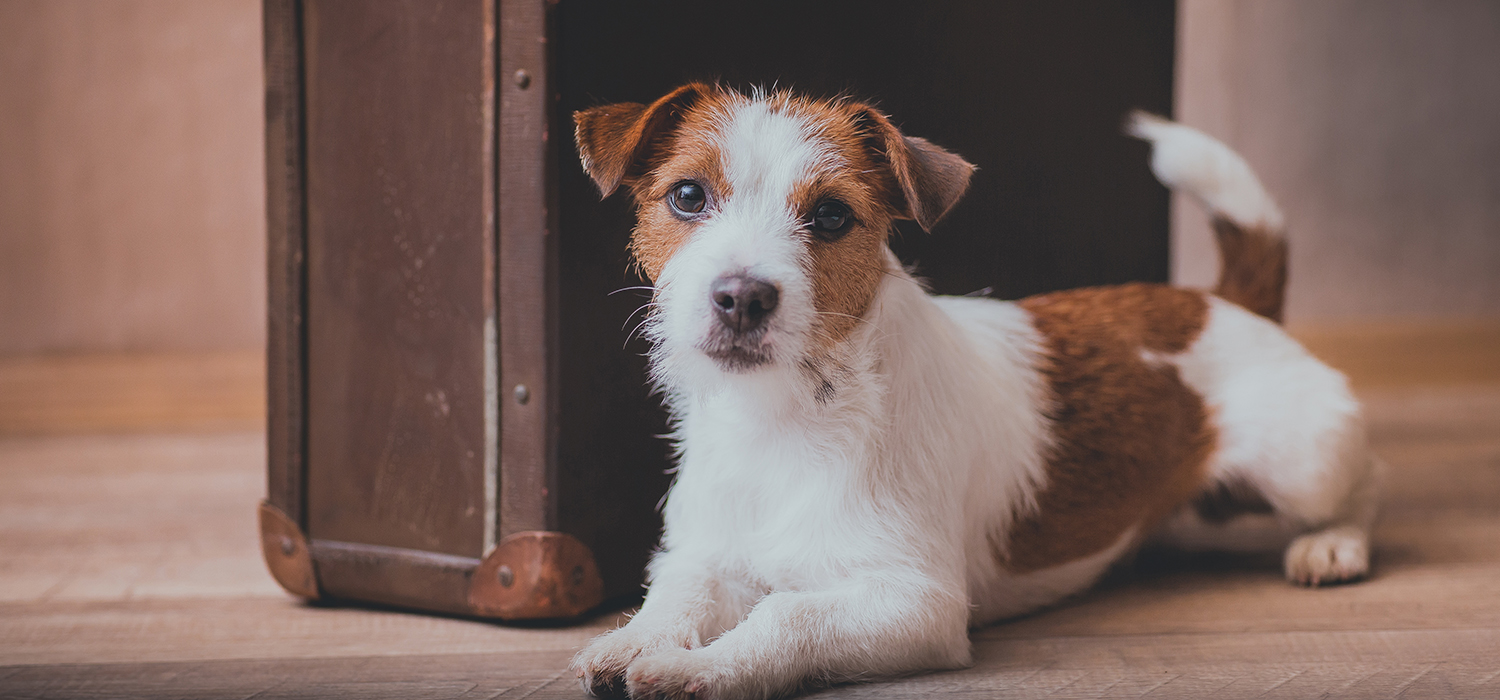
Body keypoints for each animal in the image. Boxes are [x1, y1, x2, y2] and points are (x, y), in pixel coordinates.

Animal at [567, 86, 1374, 700]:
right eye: (687, 195)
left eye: (831, 215)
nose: (741, 296)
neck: (785, 416)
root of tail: (1221, 301)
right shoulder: (703, 551)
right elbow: (682, 592)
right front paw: (634, 641)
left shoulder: (917, 603)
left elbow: (787, 618)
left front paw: (701, 669)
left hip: (1304, 459)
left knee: (1360, 487)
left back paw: (1331, 545)